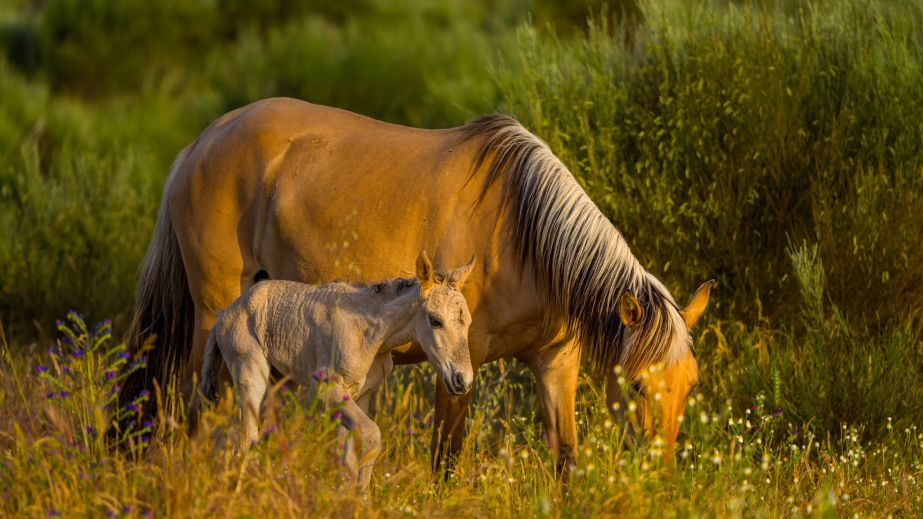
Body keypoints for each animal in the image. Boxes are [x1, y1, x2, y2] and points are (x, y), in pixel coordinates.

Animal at [199, 251, 474, 487]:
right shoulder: (323, 390)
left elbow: (349, 456)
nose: (463, 380)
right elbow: (372, 436)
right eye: (435, 321)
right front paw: (362, 499)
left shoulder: (360, 394)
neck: (369, 330)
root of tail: (224, 315)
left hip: (277, 381)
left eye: (468, 322)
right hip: (250, 372)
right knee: (247, 439)